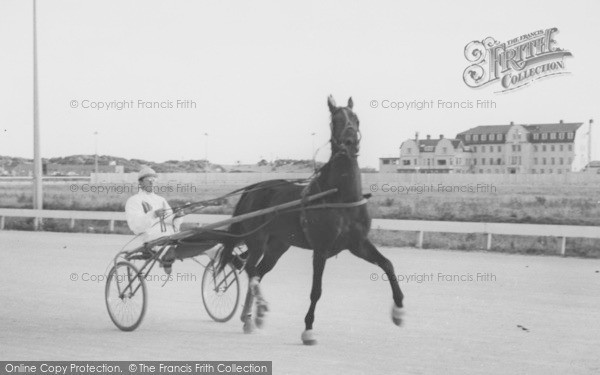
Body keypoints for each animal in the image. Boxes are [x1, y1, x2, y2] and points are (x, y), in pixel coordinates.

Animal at [218, 95, 406, 346]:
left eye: (356, 118)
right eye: (335, 120)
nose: (350, 142)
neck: (340, 196)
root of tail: (253, 188)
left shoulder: (357, 244)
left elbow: (387, 264)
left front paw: (399, 310)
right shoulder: (321, 248)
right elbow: (316, 290)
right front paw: (308, 330)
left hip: (278, 245)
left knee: (257, 272)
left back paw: (250, 317)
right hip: (257, 239)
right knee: (250, 269)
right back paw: (258, 310)